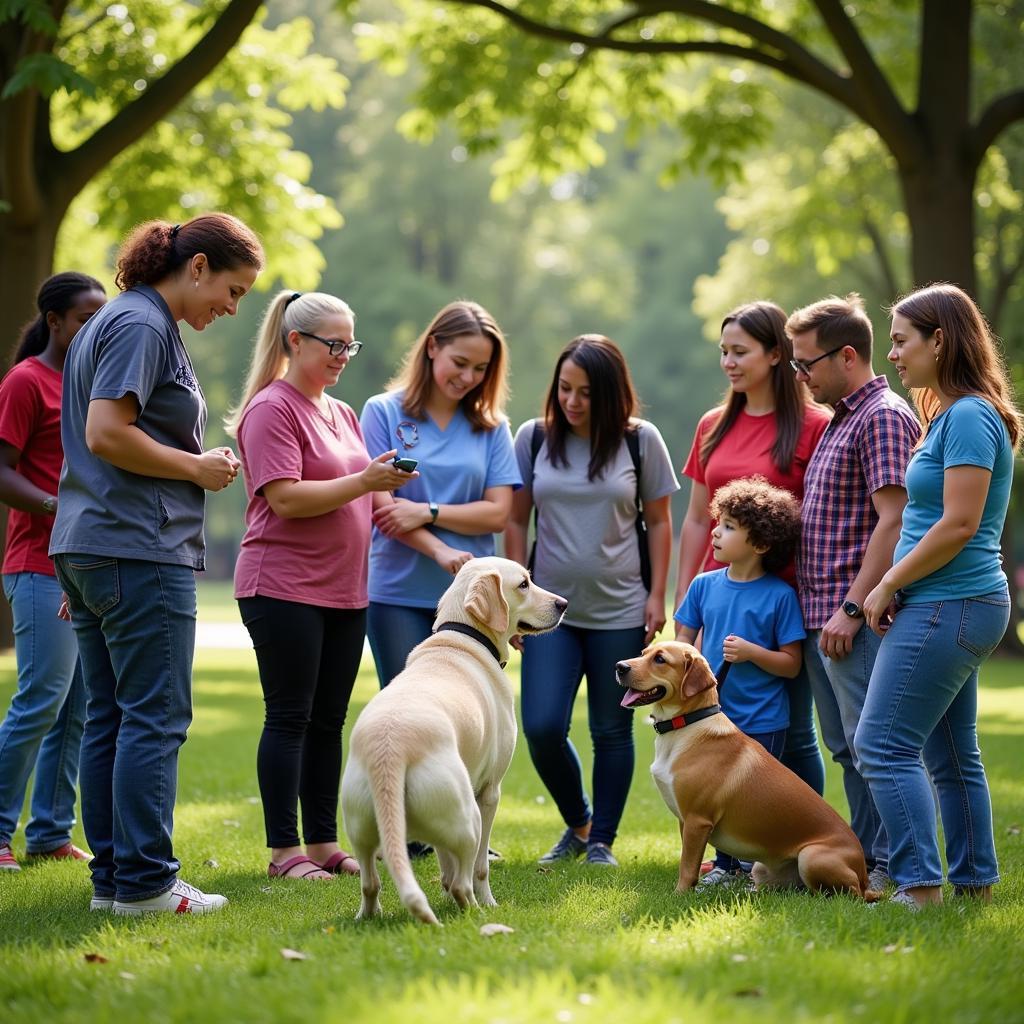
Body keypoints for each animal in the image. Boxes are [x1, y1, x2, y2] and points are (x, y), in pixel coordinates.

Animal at [342, 557, 569, 925]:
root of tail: (390, 748)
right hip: (469, 819)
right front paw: (488, 901)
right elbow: (477, 869)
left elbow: (446, 867)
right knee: (466, 880)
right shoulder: (489, 793)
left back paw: (370, 916)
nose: (563, 604)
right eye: (523, 584)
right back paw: (476, 911)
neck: (464, 636)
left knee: (370, 883)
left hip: (362, 833)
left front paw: (446, 892)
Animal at [610, 643, 876, 901]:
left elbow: (687, 866)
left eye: (660, 659)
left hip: (812, 857)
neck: (688, 724)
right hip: (763, 868)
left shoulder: (697, 820)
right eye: (643, 653)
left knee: (847, 895)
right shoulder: (684, 821)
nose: (619, 666)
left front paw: (679, 896)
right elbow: (687, 861)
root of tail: (864, 875)